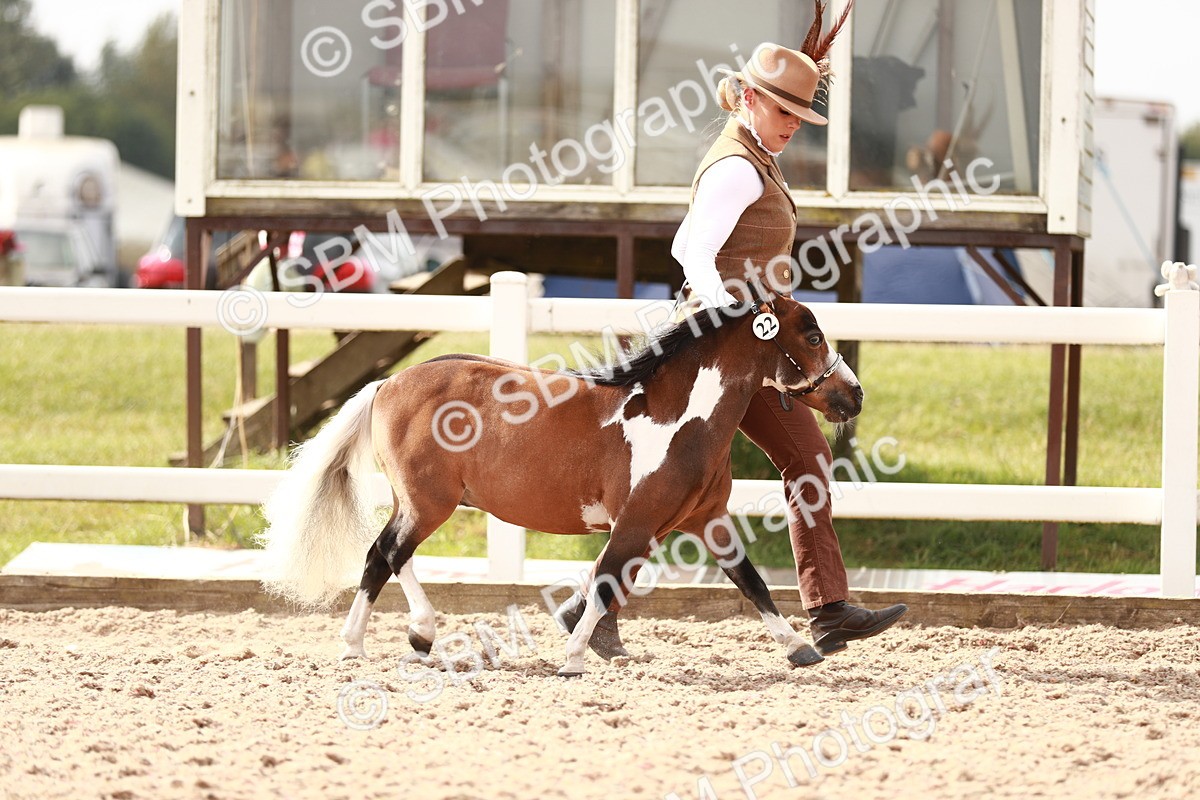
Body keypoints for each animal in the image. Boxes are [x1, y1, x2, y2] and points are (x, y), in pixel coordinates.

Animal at [258, 293, 862, 676]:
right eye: (811, 335)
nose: (853, 395)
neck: (679, 418)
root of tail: (387, 383)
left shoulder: (705, 520)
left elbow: (750, 582)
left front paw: (800, 649)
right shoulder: (636, 522)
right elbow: (604, 583)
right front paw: (572, 659)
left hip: (420, 503)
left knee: (385, 554)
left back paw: (400, 640)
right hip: (430, 503)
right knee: (385, 552)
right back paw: (376, 642)